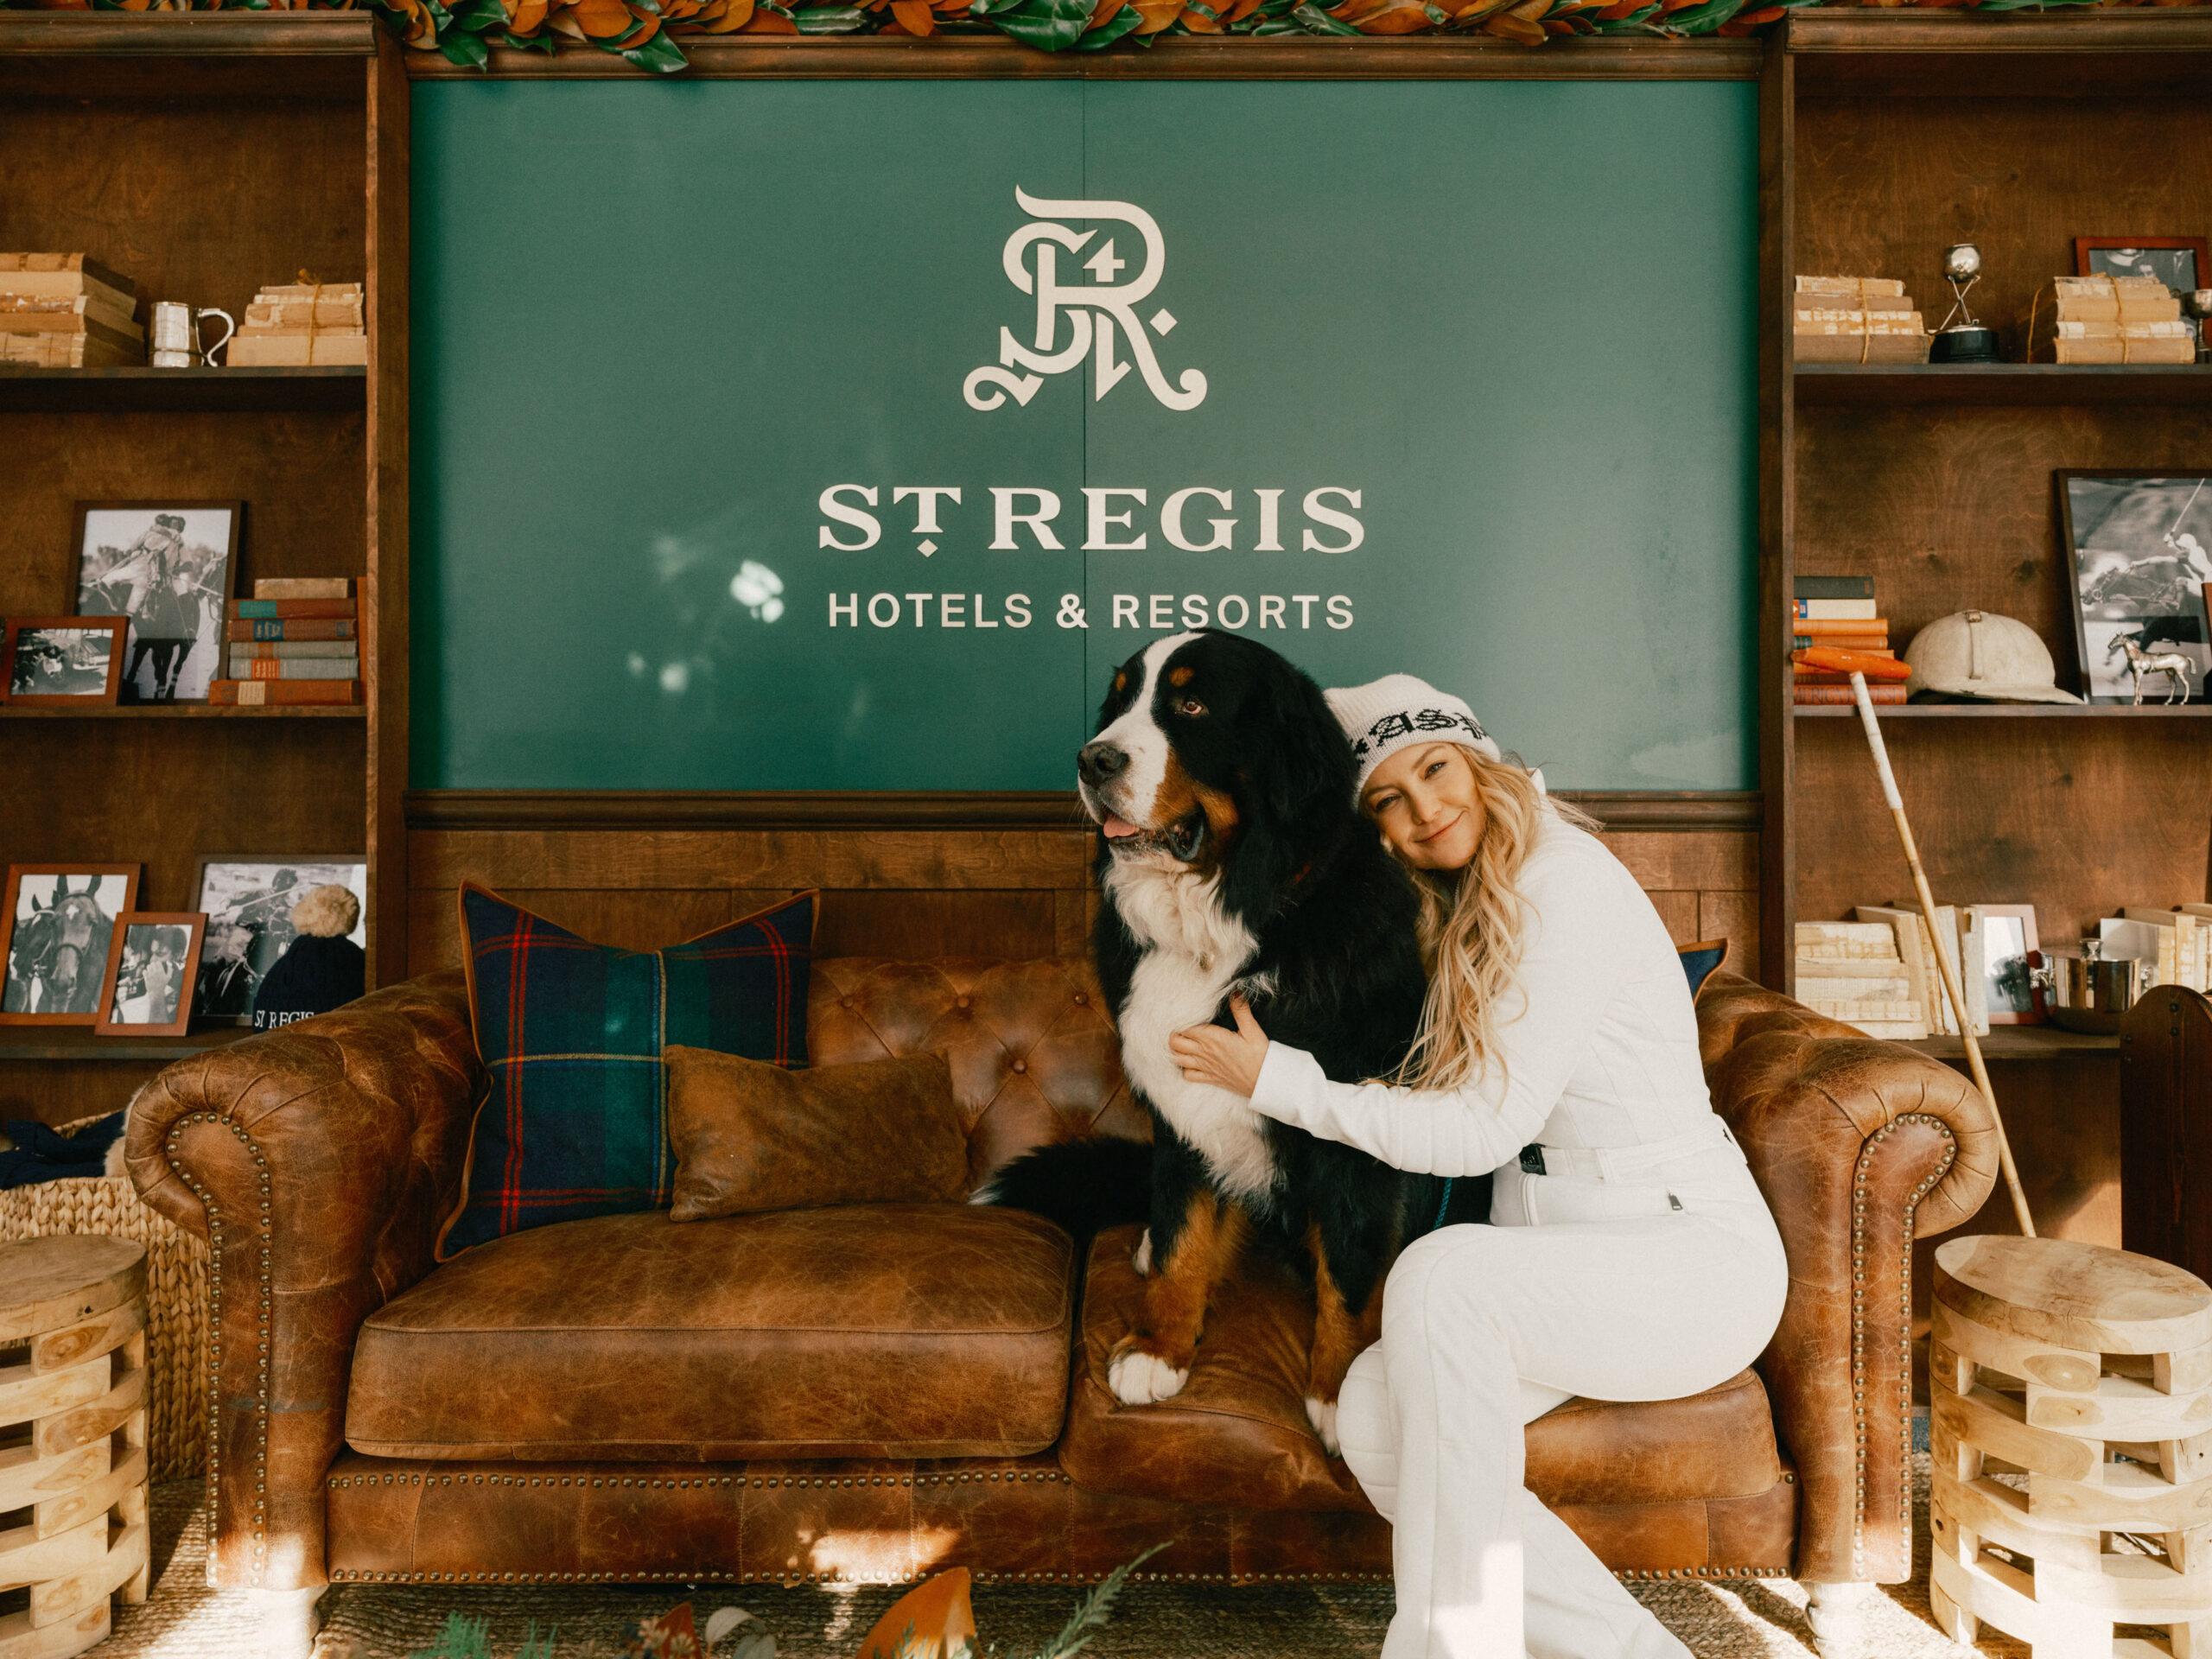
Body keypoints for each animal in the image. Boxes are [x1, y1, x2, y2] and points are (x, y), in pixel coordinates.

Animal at [982, 628, 1468, 1451]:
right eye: (1119, 701)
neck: (1221, 920)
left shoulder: (1356, 1132)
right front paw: (1159, 1346)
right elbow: (1184, 1232)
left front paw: (1342, 1393)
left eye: (1191, 706)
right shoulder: (1179, 1104)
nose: (1093, 760)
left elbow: (1349, 1268)